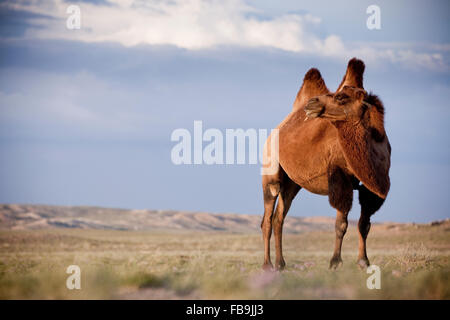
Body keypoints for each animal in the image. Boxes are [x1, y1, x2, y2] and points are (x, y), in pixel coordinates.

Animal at [260, 57, 390, 270]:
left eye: (341, 97)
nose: (312, 103)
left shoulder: (371, 186)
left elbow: (364, 224)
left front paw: (363, 261)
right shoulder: (340, 178)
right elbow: (341, 224)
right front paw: (335, 262)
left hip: (293, 183)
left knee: (279, 218)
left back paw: (280, 264)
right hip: (270, 172)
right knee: (268, 217)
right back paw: (267, 265)